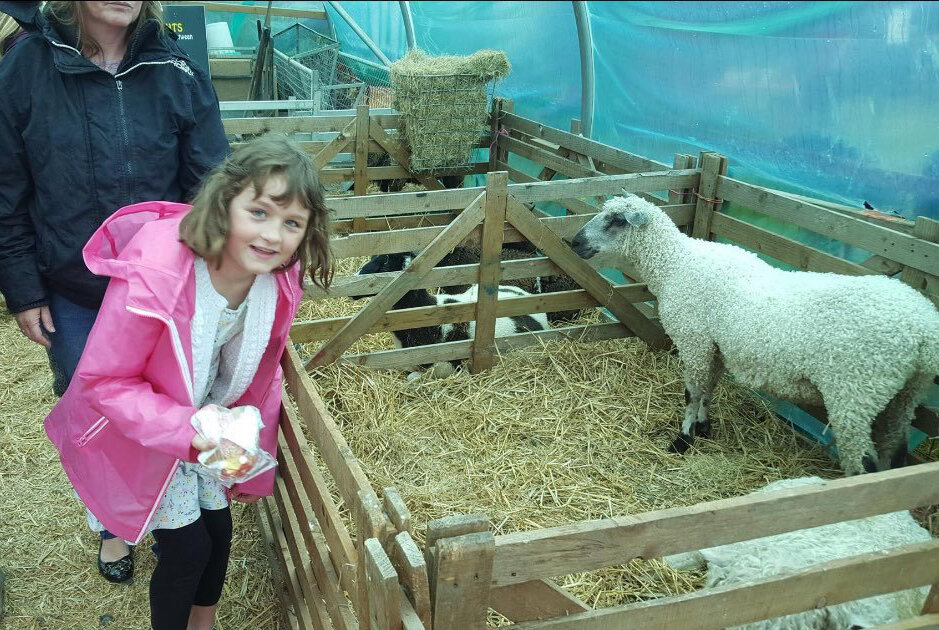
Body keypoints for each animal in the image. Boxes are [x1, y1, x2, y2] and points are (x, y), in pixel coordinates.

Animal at [568, 195, 939, 476]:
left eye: (616, 220)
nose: (574, 242)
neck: (676, 264)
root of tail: (924, 330)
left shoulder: (694, 341)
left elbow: (693, 393)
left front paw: (683, 440)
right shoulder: (714, 344)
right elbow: (709, 389)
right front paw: (704, 427)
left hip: (855, 392)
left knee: (864, 463)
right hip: (903, 395)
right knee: (895, 451)